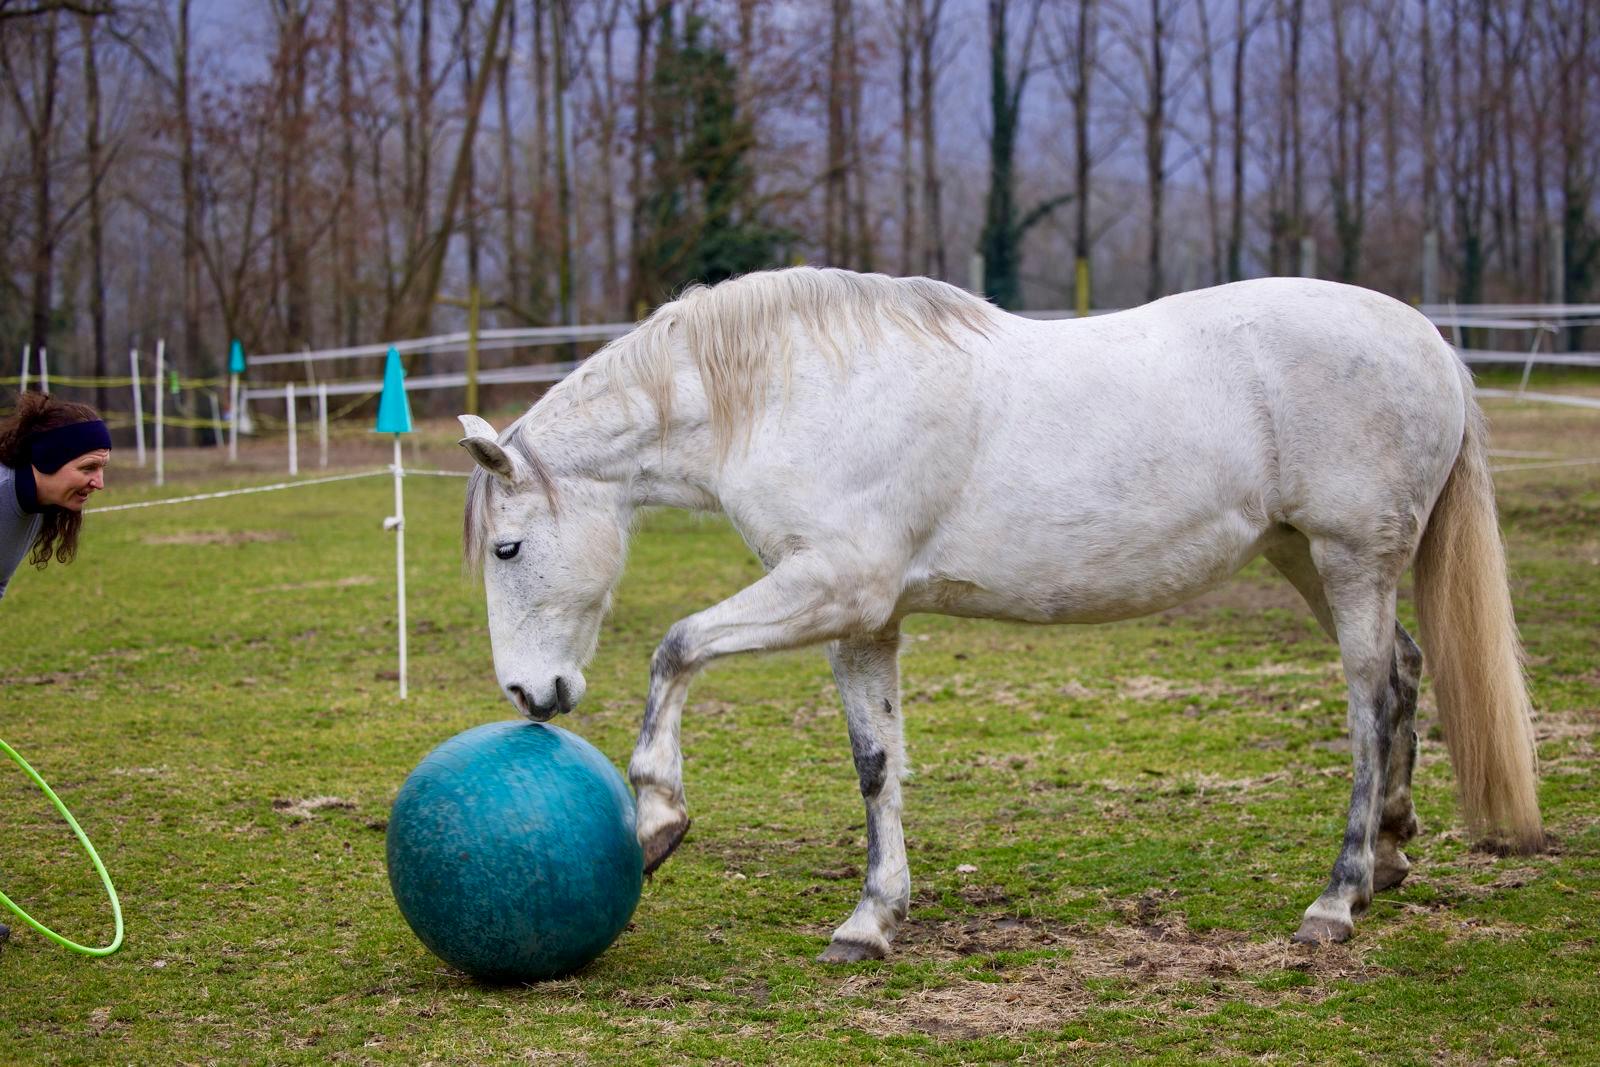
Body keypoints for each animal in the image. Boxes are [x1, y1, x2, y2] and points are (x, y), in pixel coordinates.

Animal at [457, 266, 1543, 962]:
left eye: (507, 549)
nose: (529, 691)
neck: (789, 392)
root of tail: (1424, 339)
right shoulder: (864, 620)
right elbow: (875, 761)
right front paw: (870, 919)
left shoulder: (832, 588)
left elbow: (675, 649)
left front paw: (656, 818)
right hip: (1309, 560)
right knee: (1404, 672)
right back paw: (1389, 857)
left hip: (1350, 560)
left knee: (1369, 703)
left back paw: (1336, 897)